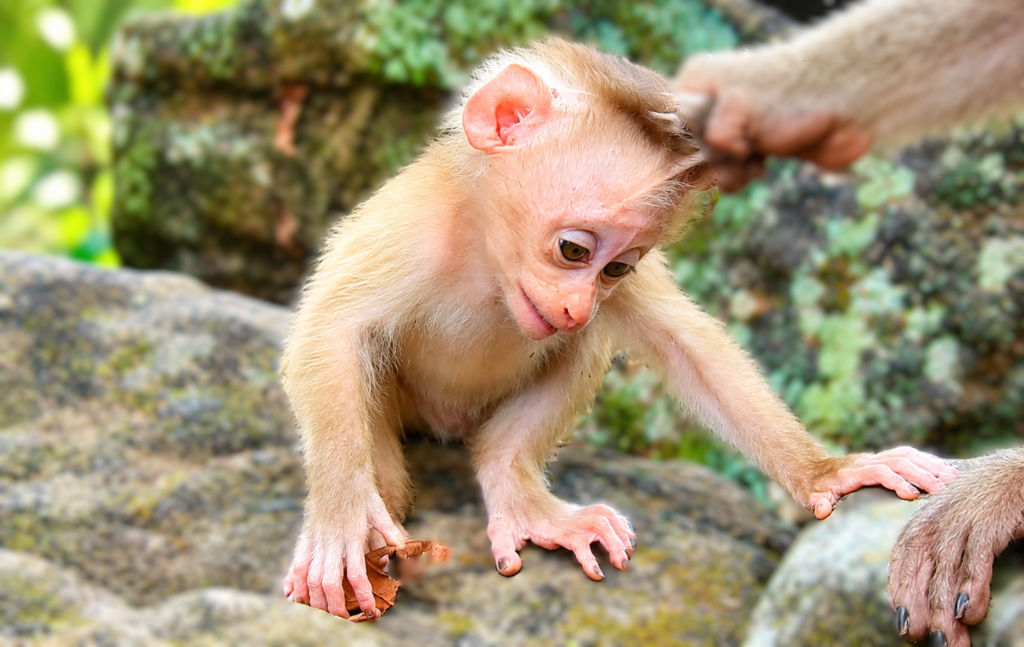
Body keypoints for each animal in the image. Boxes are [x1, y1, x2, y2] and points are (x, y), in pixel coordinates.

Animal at [279, 39, 956, 622]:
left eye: (617, 268)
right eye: (574, 250)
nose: (578, 304)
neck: (487, 257)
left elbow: (688, 350)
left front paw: (827, 472)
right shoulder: (409, 228)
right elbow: (331, 334)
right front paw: (341, 524)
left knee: (582, 350)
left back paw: (514, 484)